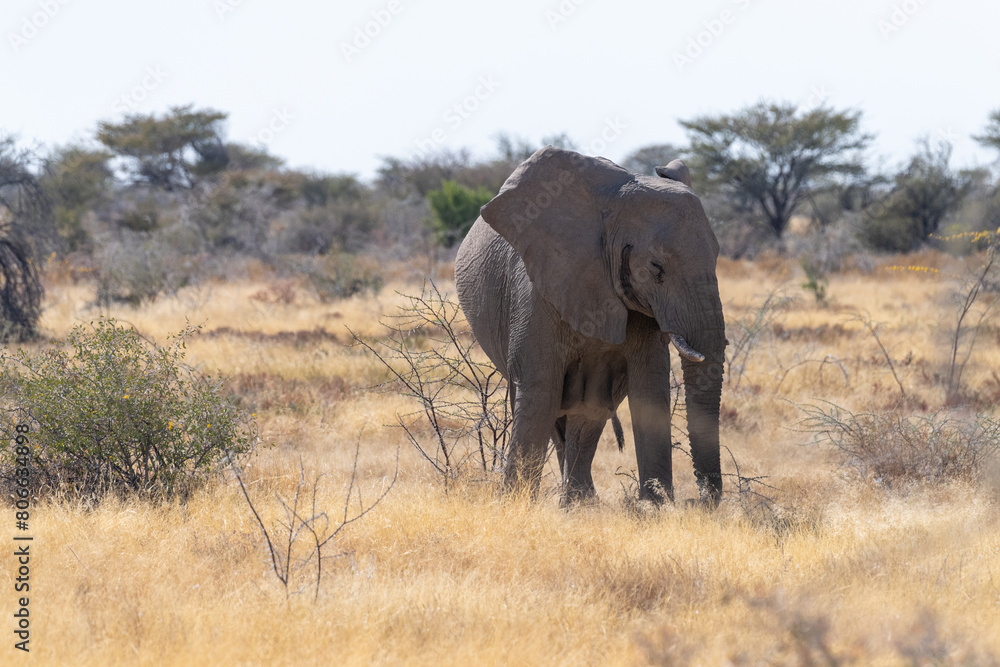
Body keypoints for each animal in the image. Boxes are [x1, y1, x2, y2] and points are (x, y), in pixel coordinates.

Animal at [454, 145, 728, 500]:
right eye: (656, 268)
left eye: (718, 256)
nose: (704, 499)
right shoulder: (537, 286)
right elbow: (540, 390)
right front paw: (515, 503)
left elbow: (650, 387)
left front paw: (656, 504)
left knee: (588, 415)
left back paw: (580, 502)